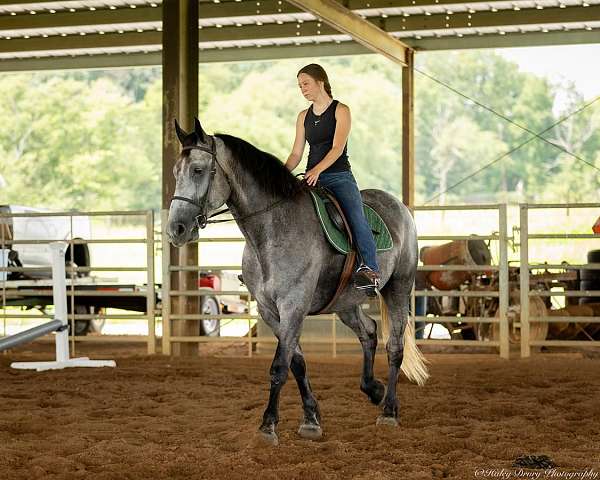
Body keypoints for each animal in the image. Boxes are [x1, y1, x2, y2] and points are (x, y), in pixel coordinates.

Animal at [166, 118, 428, 444]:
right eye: (176, 172)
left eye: (198, 170)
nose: (176, 229)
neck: (272, 230)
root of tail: (399, 206)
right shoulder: (270, 311)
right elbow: (297, 363)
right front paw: (311, 419)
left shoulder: (293, 306)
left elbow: (279, 366)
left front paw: (268, 426)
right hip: (346, 303)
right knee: (368, 332)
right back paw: (373, 390)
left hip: (398, 289)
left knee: (394, 347)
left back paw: (389, 410)